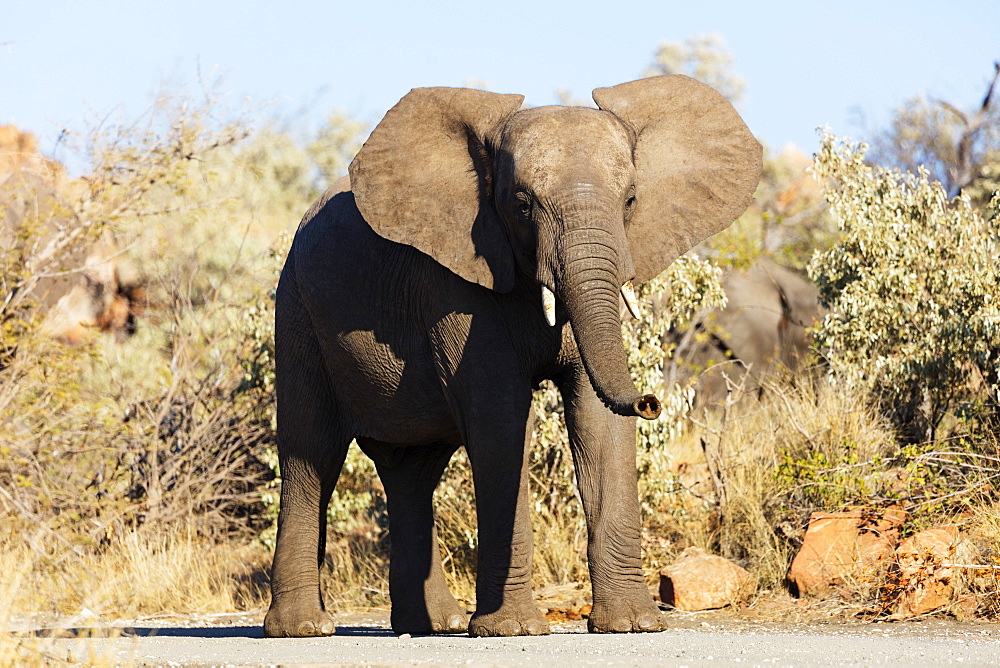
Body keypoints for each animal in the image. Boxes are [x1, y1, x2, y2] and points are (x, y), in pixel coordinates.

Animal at [262, 75, 760, 640]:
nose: (651, 402)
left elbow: (597, 420)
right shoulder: (455, 281)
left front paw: (632, 625)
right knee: (313, 455)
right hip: (296, 309)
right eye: (521, 204)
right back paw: (304, 628)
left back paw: (435, 626)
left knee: (413, 469)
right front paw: (514, 629)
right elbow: (501, 422)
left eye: (631, 199)